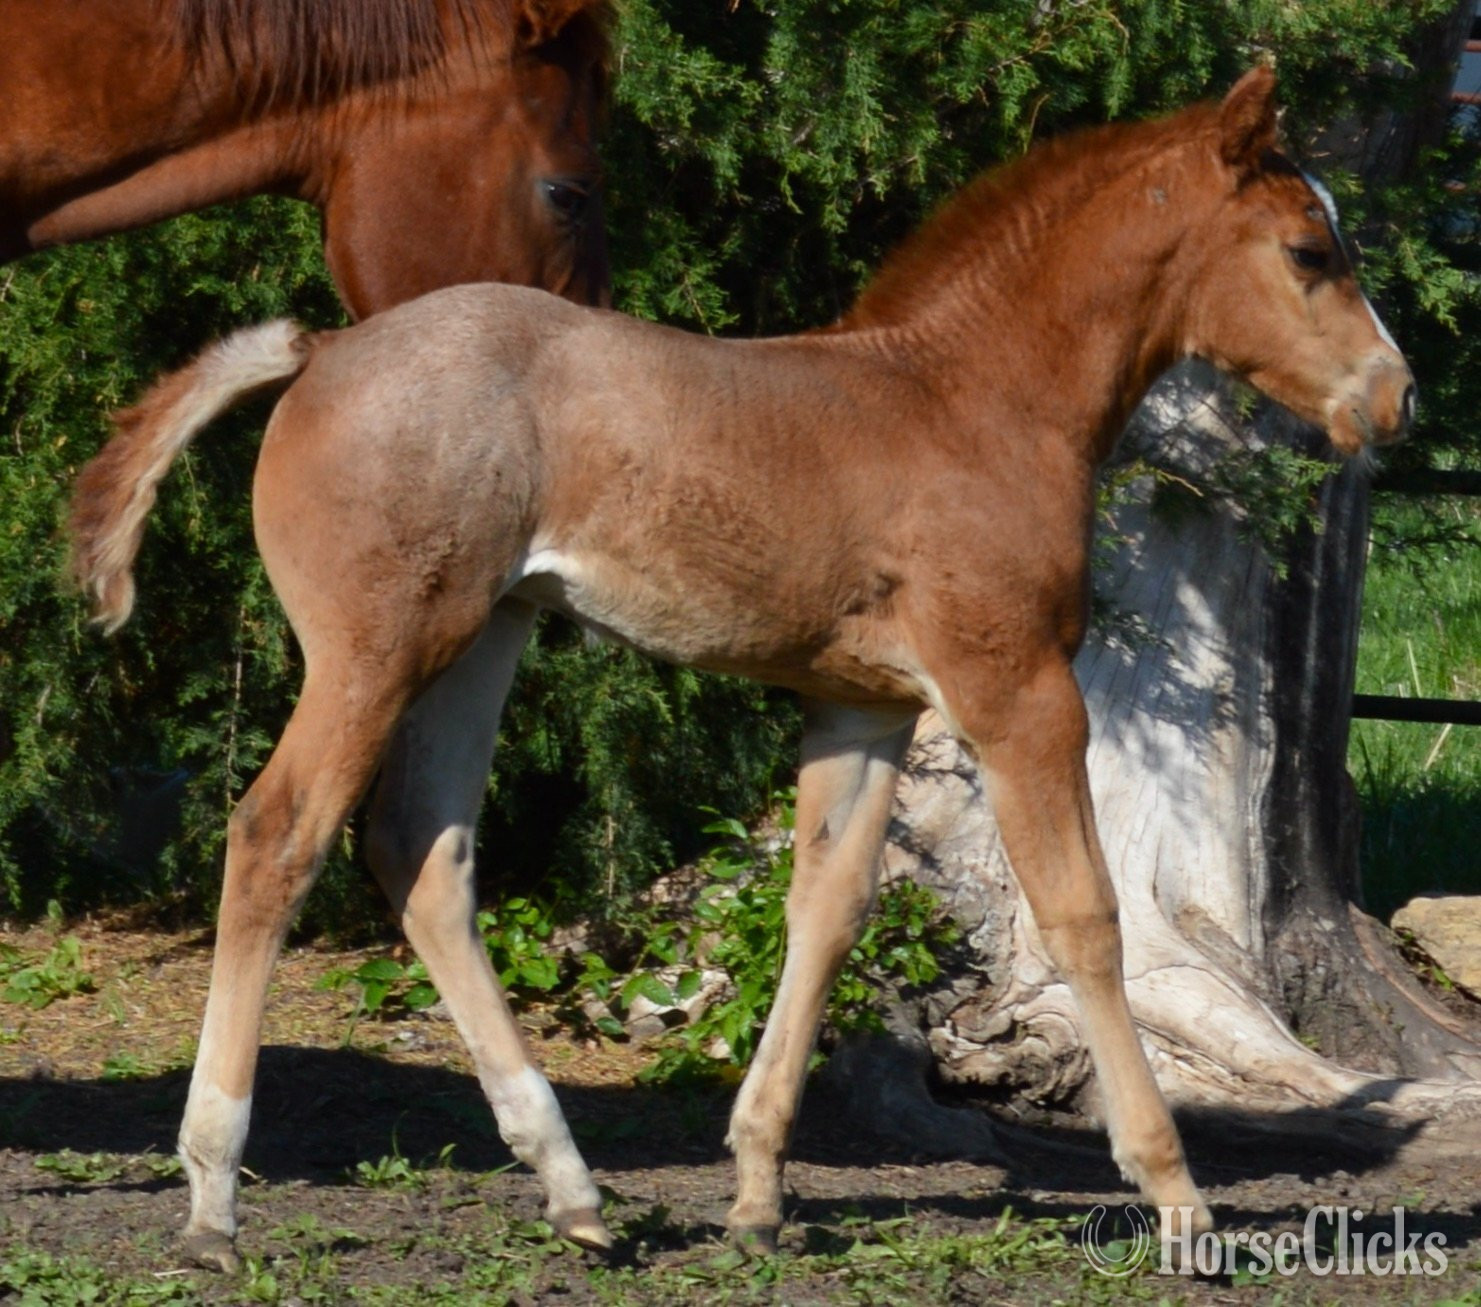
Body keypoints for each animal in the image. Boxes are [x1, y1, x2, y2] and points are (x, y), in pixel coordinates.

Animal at [68, 67, 1414, 1268]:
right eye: (1308, 252)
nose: (1393, 399)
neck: (969, 401)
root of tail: (318, 352)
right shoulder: (1017, 691)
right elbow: (1083, 915)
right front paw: (1177, 1198)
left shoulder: (861, 706)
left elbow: (823, 907)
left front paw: (758, 1193)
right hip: (375, 648)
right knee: (276, 831)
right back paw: (212, 1198)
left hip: (478, 639)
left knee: (422, 852)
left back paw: (572, 1188)